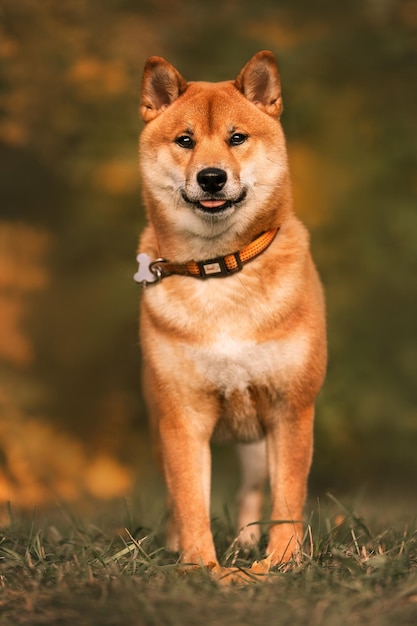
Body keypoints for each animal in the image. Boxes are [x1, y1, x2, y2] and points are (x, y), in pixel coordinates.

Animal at [135, 52, 326, 572]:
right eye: (185, 140)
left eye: (237, 137)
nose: (212, 177)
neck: (219, 271)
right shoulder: (181, 417)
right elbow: (189, 499)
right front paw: (201, 567)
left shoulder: (290, 408)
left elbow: (288, 497)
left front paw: (280, 562)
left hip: (256, 445)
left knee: (250, 493)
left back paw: (245, 542)